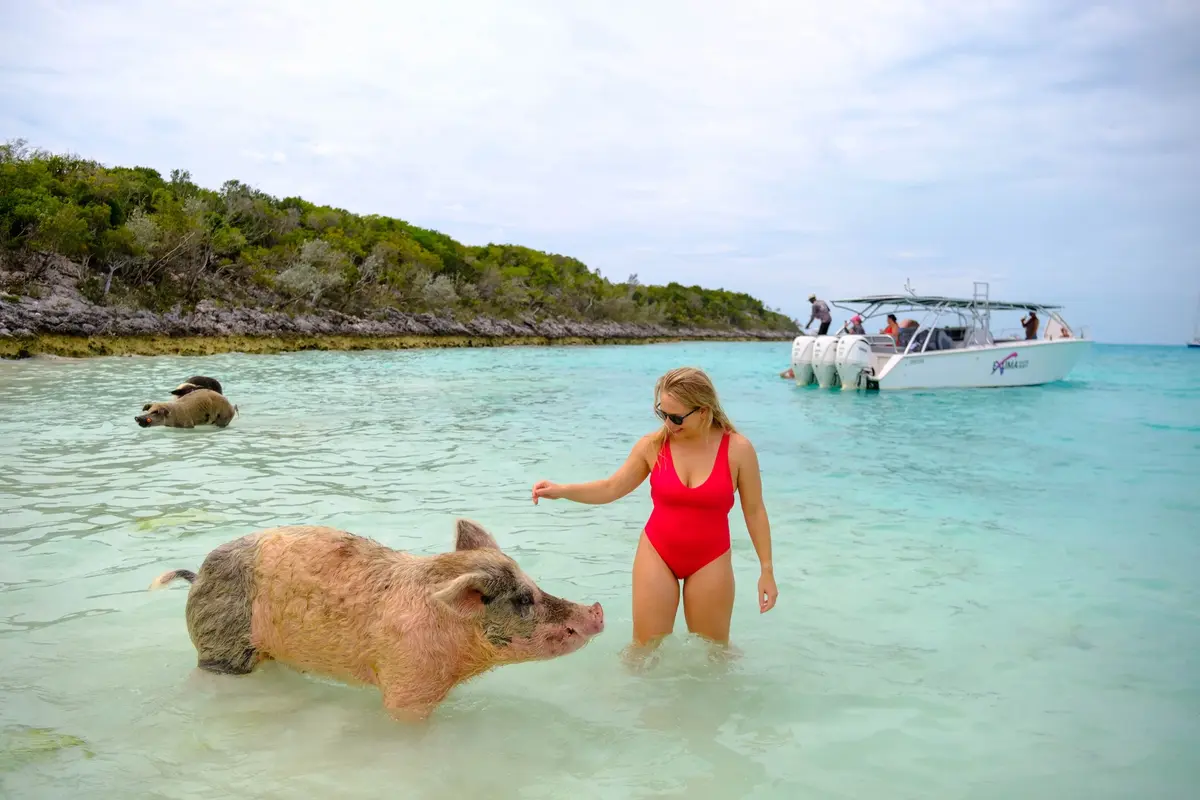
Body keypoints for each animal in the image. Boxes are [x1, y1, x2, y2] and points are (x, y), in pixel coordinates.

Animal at [148, 518, 605, 721]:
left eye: (534, 585)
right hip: (222, 647)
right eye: (524, 599)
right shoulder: (408, 683)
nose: (598, 611)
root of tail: (197, 576)